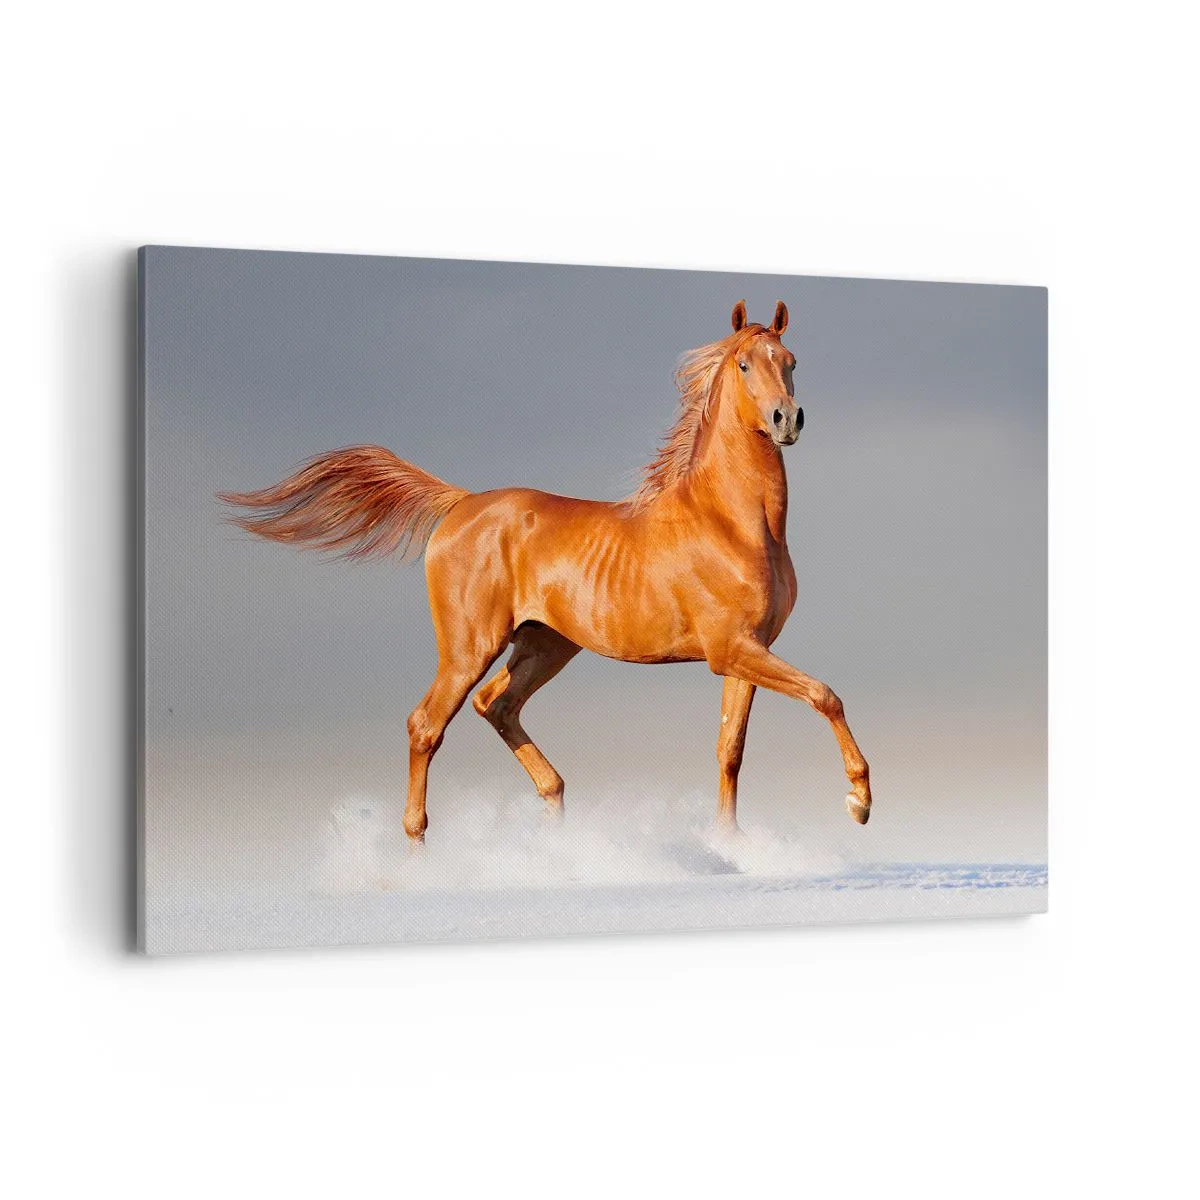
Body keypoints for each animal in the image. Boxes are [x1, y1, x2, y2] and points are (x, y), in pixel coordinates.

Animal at [220, 300, 872, 843]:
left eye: (790, 361)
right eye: (743, 364)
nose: (787, 419)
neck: (732, 522)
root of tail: (460, 505)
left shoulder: (749, 650)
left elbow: (730, 749)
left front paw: (730, 842)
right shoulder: (729, 649)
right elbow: (826, 695)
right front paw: (859, 800)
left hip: (545, 644)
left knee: (496, 706)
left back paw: (555, 816)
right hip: (471, 646)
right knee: (427, 724)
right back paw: (419, 845)